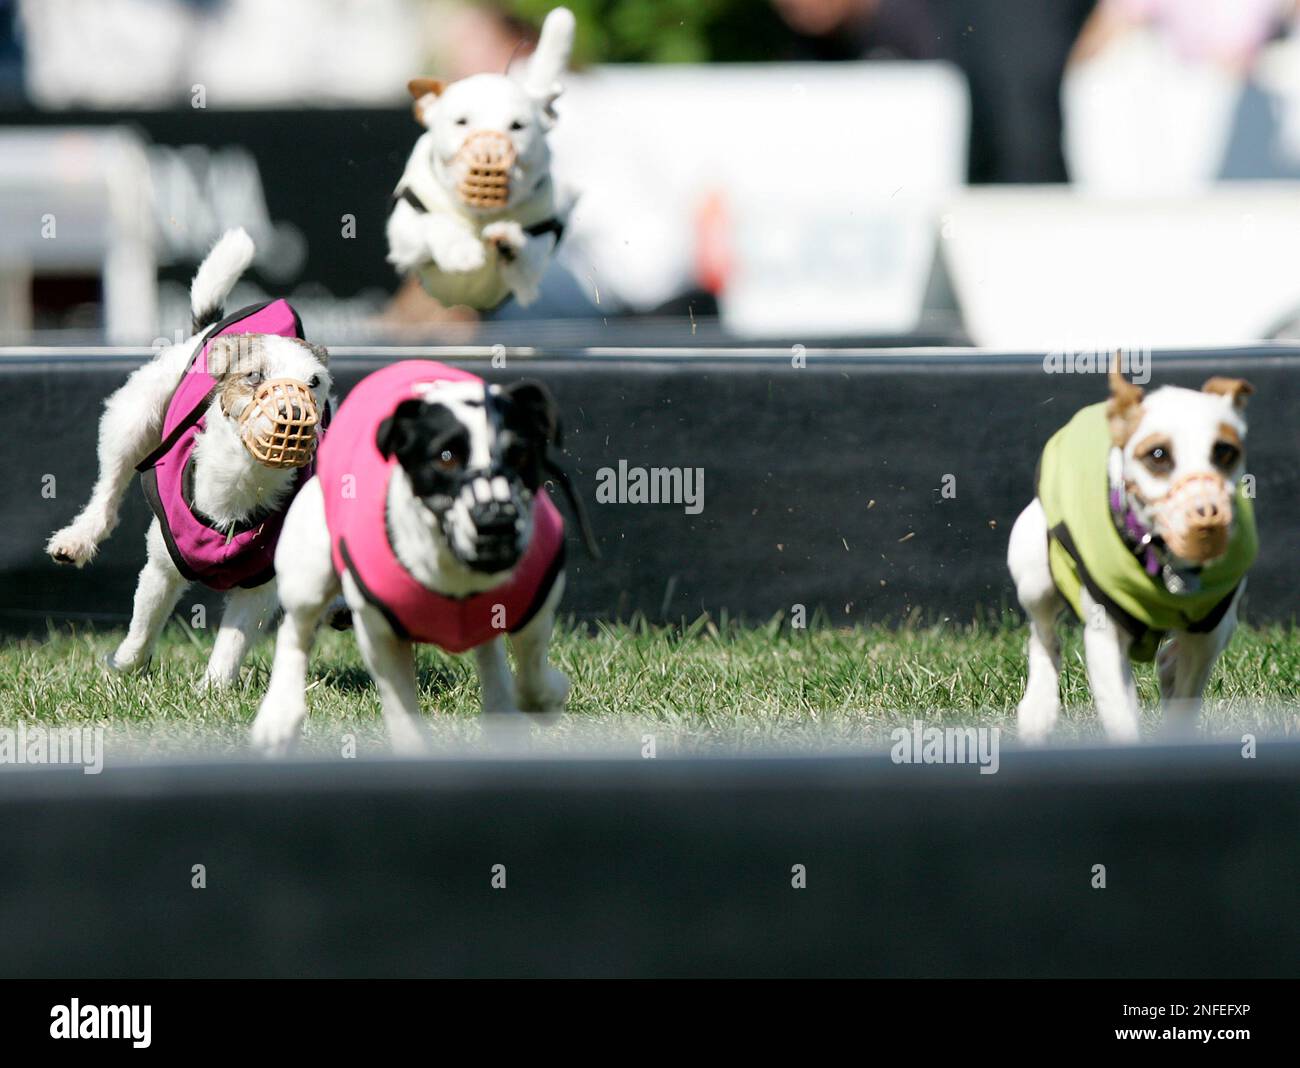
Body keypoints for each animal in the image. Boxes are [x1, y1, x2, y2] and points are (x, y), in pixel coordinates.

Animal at [48, 229, 335, 691]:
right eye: (255, 375)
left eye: (314, 382)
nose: (295, 414)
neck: (243, 481)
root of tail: (212, 326)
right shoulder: (161, 568)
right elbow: (144, 624)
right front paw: (126, 667)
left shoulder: (259, 589)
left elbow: (233, 640)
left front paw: (213, 690)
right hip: (132, 418)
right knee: (108, 491)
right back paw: (77, 538)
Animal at [379, 5, 574, 309]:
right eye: (462, 122)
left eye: (517, 125)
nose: (489, 157)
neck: (480, 215)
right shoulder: (403, 234)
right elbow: (433, 222)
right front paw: (460, 249)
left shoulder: (532, 268)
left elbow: (529, 253)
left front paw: (509, 240)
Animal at [1008, 371, 1253, 748]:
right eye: (1158, 454)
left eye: (1224, 450)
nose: (1207, 516)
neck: (1164, 562)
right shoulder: (1105, 638)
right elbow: (1121, 716)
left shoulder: (1207, 634)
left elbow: (1187, 692)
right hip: (1035, 573)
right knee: (1043, 635)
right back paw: (1038, 709)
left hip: (1224, 622)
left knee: (1173, 656)